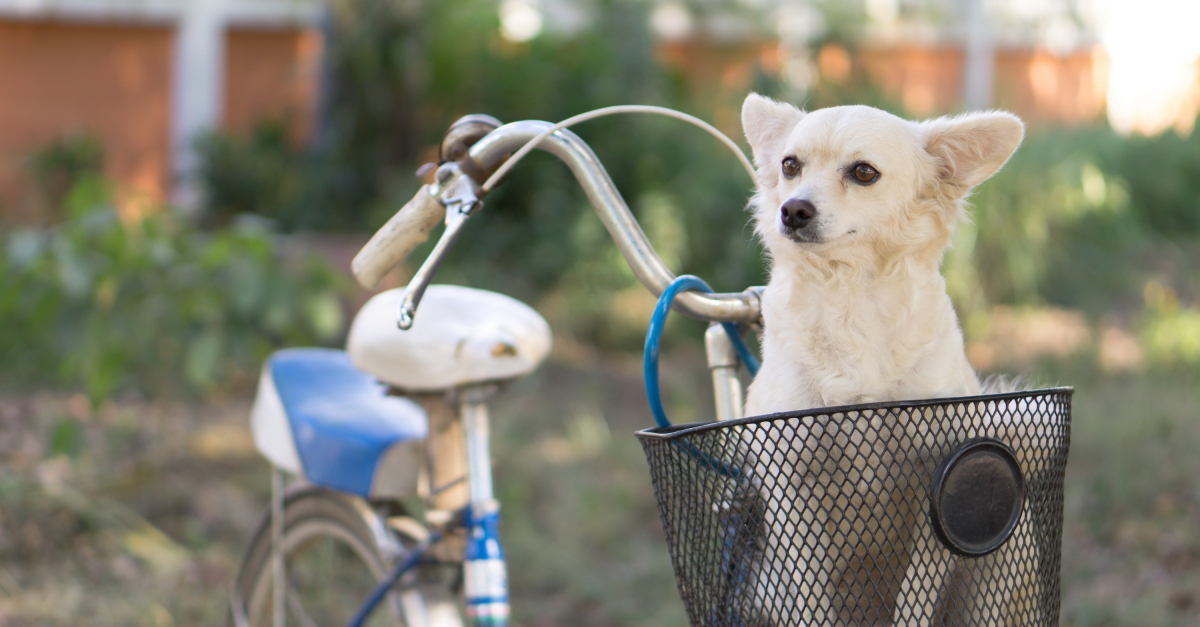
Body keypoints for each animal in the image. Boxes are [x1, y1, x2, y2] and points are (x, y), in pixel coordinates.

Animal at [734, 93, 1027, 624]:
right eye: (790, 166)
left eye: (864, 173)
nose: (792, 209)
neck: (851, 295)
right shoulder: (789, 486)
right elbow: (812, 596)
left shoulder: (945, 487)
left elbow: (917, 593)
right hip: (770, 586)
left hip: (996, 568)